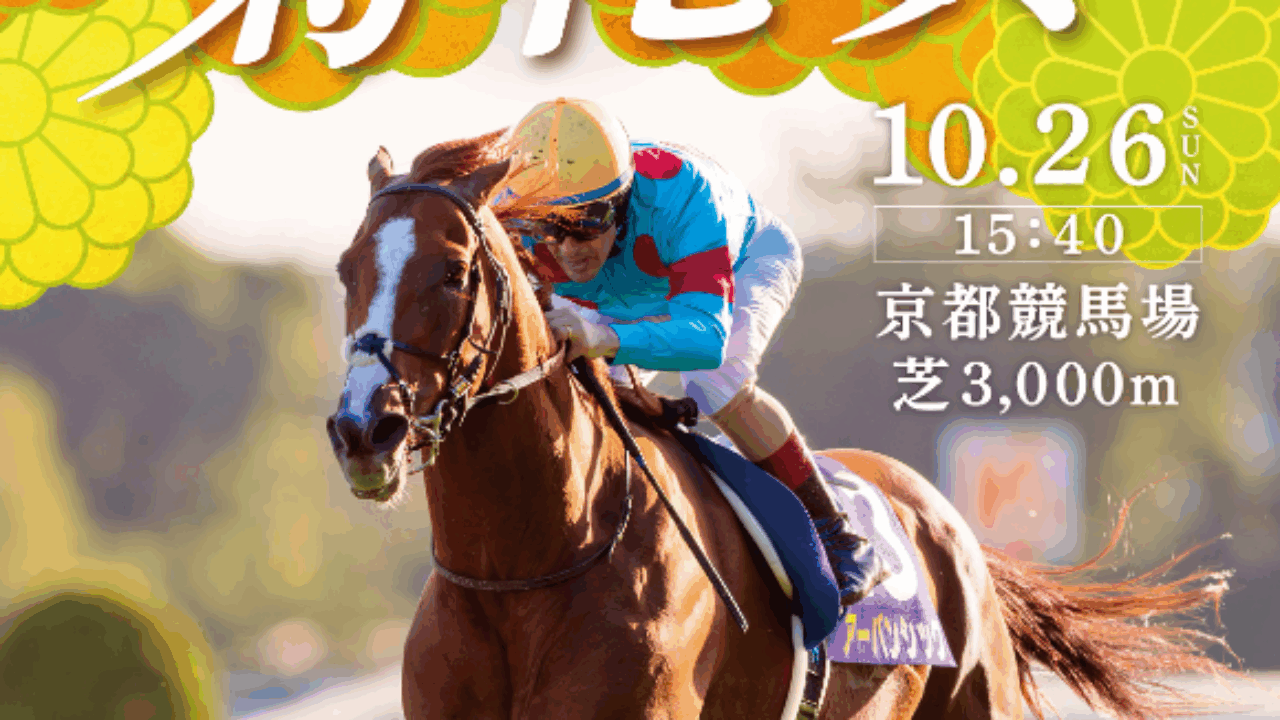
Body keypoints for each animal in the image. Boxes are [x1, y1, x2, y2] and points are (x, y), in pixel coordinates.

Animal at [325, 130, 1234, 720]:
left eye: (452, 272)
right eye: (345, 268)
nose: (365, 428)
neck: (528, 566)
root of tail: (945, 519)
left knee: (725, 372)